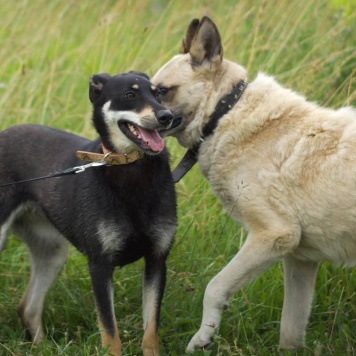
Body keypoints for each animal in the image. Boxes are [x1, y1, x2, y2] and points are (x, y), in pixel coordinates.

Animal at [0, 71, 177, 354]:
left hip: (52, 252)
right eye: (130, 95)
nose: (167, 116)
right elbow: (110, 334)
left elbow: (150, 332)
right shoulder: (100, 266)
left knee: (27, 308)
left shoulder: (156, 261)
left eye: (158, 93)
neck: (129, 168)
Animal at [152, 16, 356, 350]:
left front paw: (203, 337)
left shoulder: (273, 235)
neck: (225, 112)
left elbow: (214, 288)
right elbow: (290, 332)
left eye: (162, 91)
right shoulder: (300, 260)